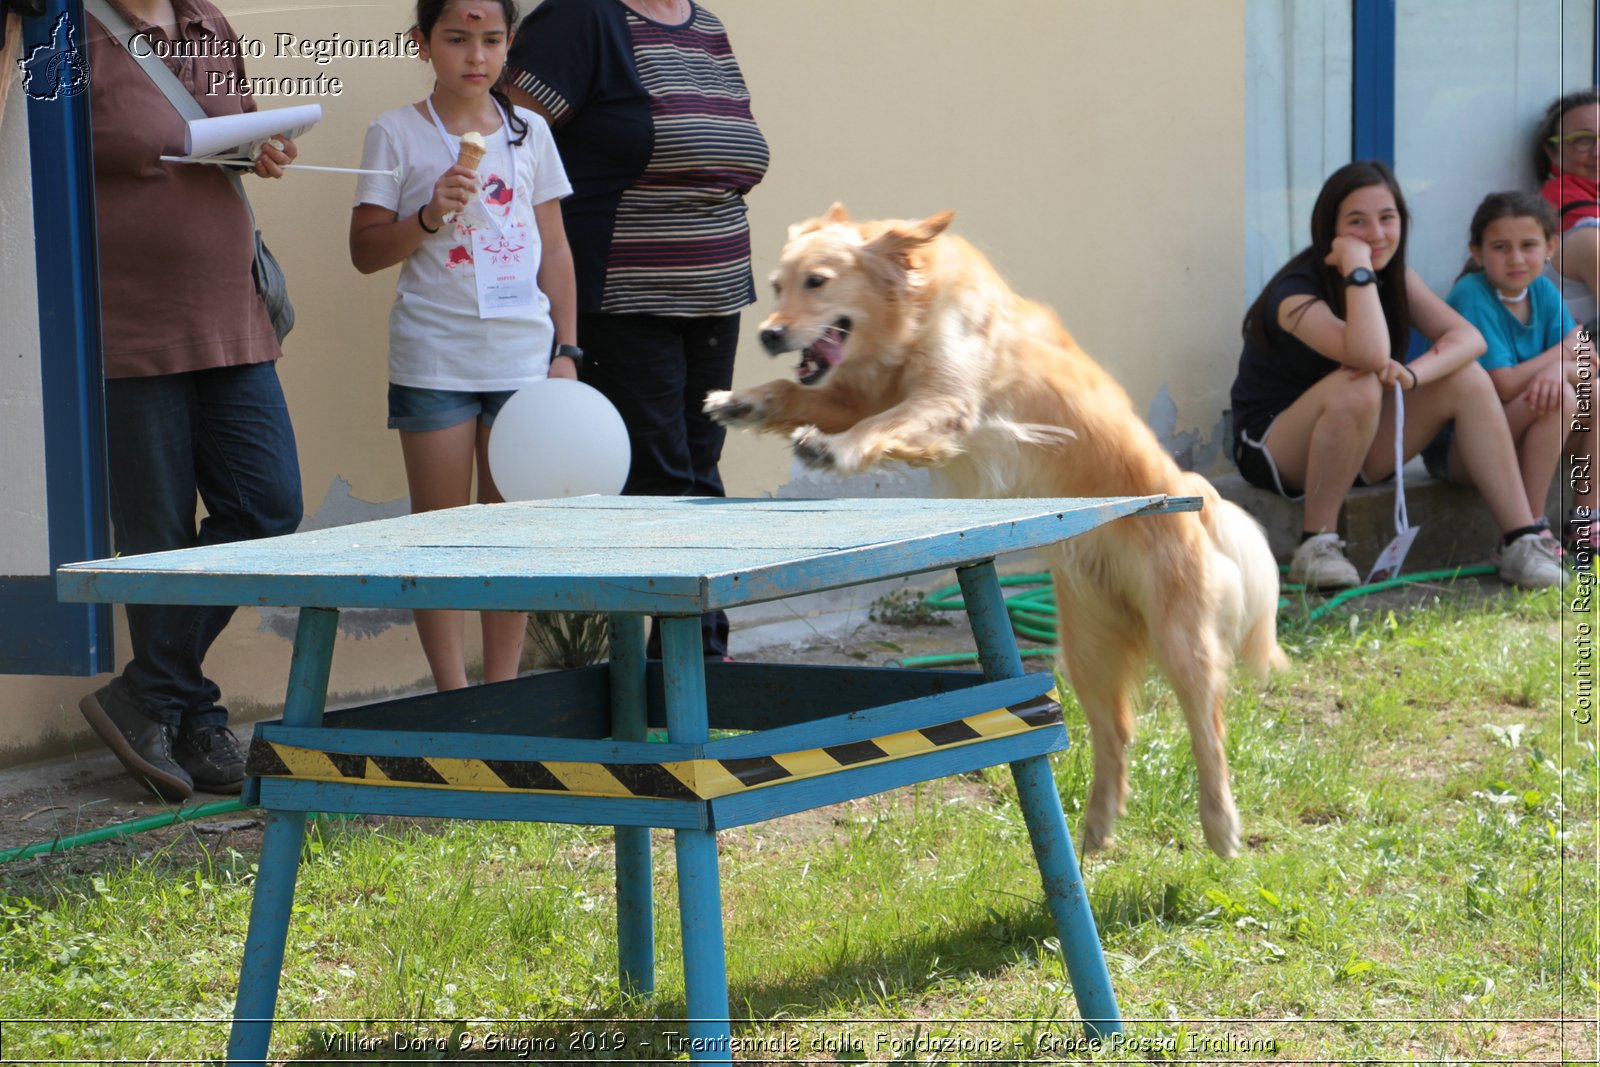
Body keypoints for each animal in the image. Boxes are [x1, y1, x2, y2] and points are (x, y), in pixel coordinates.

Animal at [707, 204, 1280, 857]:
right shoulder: (863, 392)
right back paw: (1096, 829)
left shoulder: (944, 399)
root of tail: (1183, 491)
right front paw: (745, 400)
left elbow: (878, 424)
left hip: (1181, 637)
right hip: (1085, 646)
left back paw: (1221, 827)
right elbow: (808, 394)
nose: (769, 335)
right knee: (1116, 730)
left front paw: (833, 448)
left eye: (817, 282)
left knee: (1207, 726)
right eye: (776, 286)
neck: (915, 309)